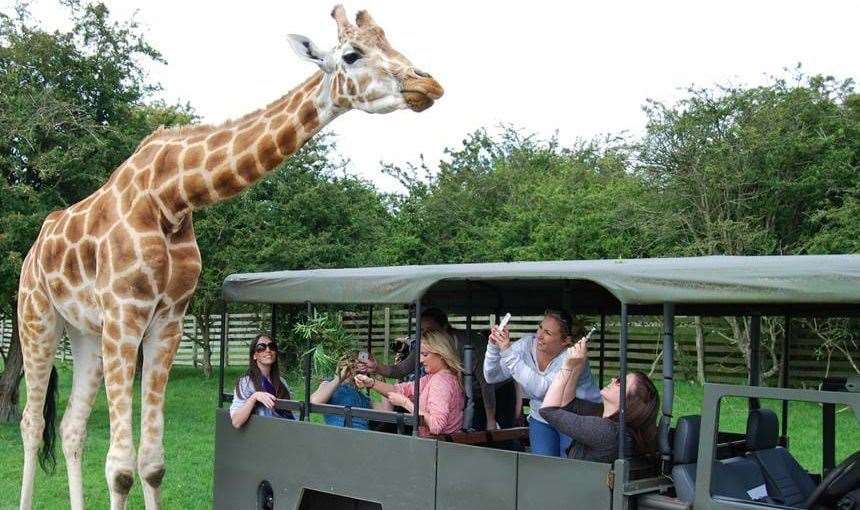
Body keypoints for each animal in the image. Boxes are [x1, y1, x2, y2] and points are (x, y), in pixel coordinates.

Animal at [17, 4, 444, 510]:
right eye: (352, 54)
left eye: (392, 41)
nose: (428, 84)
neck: (172, 195)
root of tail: (33, 249)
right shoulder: (125, 314)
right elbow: (119, 470)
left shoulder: (168, 320)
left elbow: (152, 463)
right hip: (37, 318)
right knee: (31, 423)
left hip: (84, 333)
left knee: (70, 428)